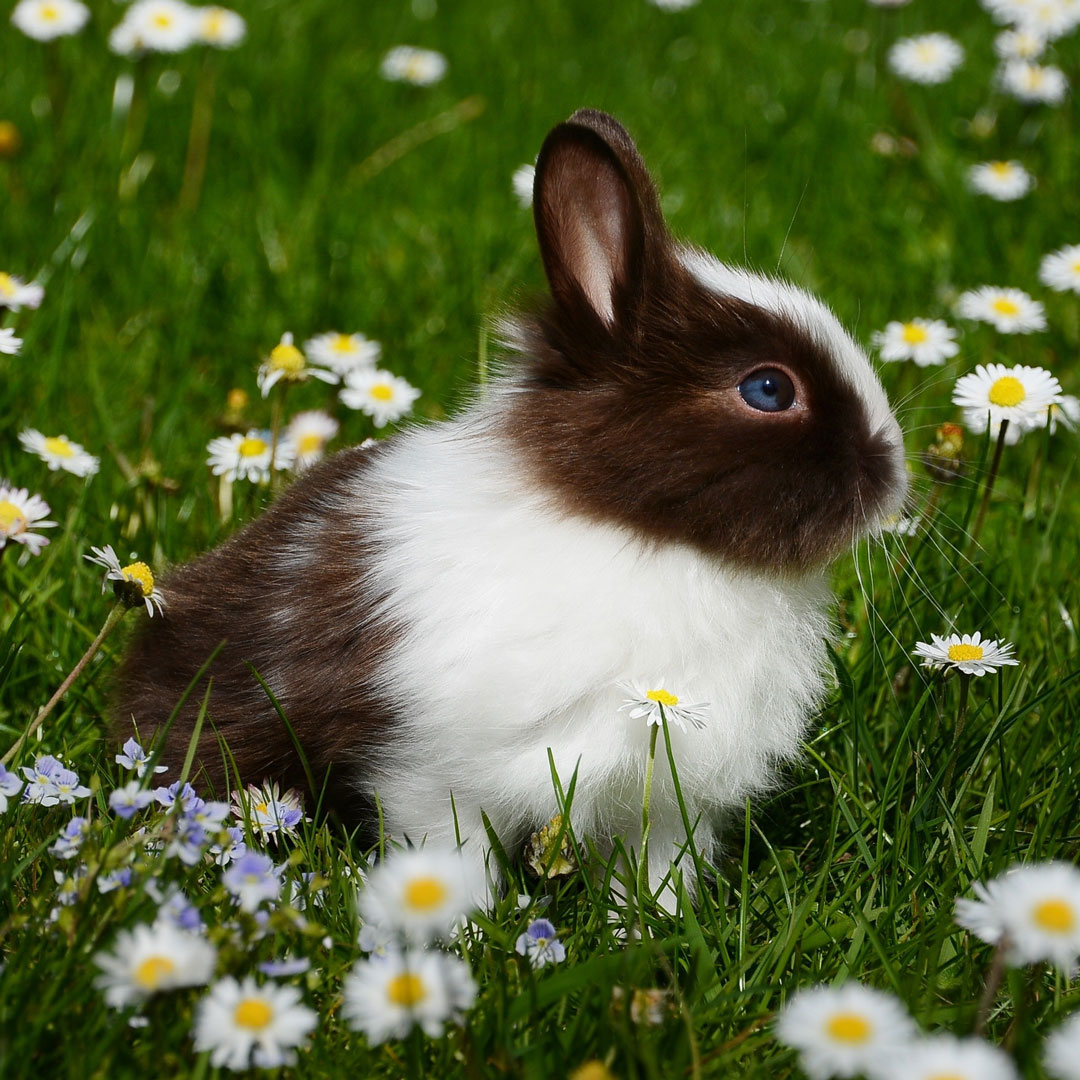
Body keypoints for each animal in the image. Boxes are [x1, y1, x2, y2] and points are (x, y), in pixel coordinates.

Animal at [113, 109, 907, 909]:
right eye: (769, 390)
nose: (894, 474)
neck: (643, 536)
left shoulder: (664, 800)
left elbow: (655, 872)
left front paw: (650, 924)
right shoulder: (435, 774)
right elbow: (449, 859)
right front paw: (458, 926)